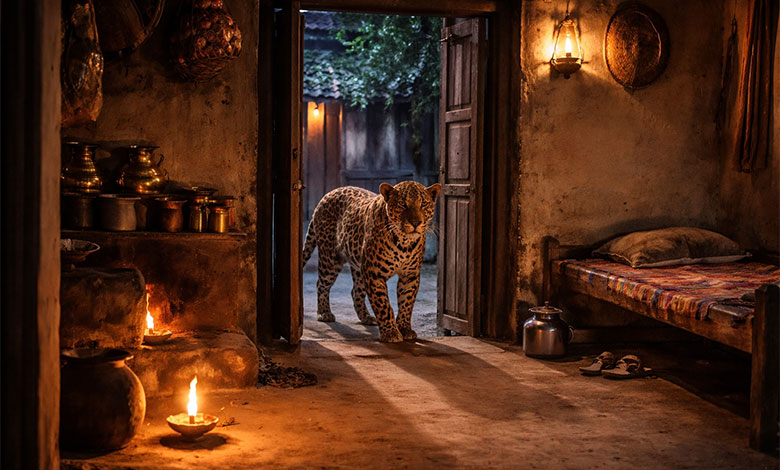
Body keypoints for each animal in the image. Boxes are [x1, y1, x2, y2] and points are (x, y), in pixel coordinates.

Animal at [302, 181, 441, 343]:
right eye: (402, 204)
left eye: (423, 204)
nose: (416, 223)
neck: (404, 242)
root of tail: (327, 195)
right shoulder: (374, 274)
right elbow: (383, 304)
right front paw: (391, 333)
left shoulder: (410, 275)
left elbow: (406, 303)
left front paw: (405, 329)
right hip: (331, 259)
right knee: (321, 284)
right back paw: (324, 313)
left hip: (359, 267)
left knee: (355, 291)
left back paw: (366, 317)